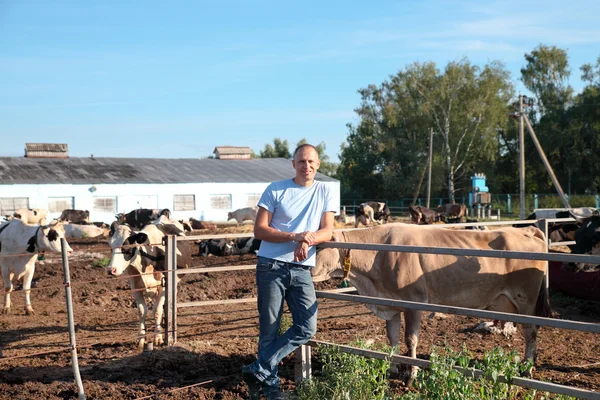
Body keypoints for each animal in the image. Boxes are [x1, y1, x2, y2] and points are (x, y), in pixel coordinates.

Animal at [314, 223, 552, 380]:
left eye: (317, 247)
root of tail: (527, 229)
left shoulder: (414, 302)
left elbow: (410, 340)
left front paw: (412, 372)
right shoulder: (390, 305)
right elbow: (392, 339)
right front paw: (391, 368)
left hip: (526, 299)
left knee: (531, 331)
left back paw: (527, 367)